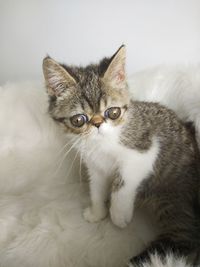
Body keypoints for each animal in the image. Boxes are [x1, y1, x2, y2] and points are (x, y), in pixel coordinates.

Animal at [42, 46, 200, 267]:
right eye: (79, 119)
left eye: (113, 112)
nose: (98, 123)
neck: (102, 144)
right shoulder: (95, 166)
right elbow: (96, 188)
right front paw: (97, 212)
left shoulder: (145, 150)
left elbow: (122, 181)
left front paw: (118, 214)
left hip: (172, 196)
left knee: (184, 235)